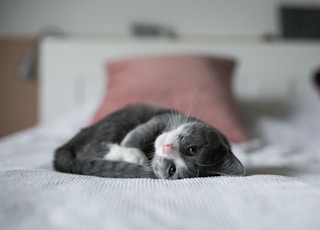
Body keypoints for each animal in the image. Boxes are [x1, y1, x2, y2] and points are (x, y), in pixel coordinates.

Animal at [54, 103, 245, 179]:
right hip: (117, 121)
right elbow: (139, 134)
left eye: (172, 169)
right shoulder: (162, 118)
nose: (167, 147)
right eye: (193, 149)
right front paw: (134, 151)